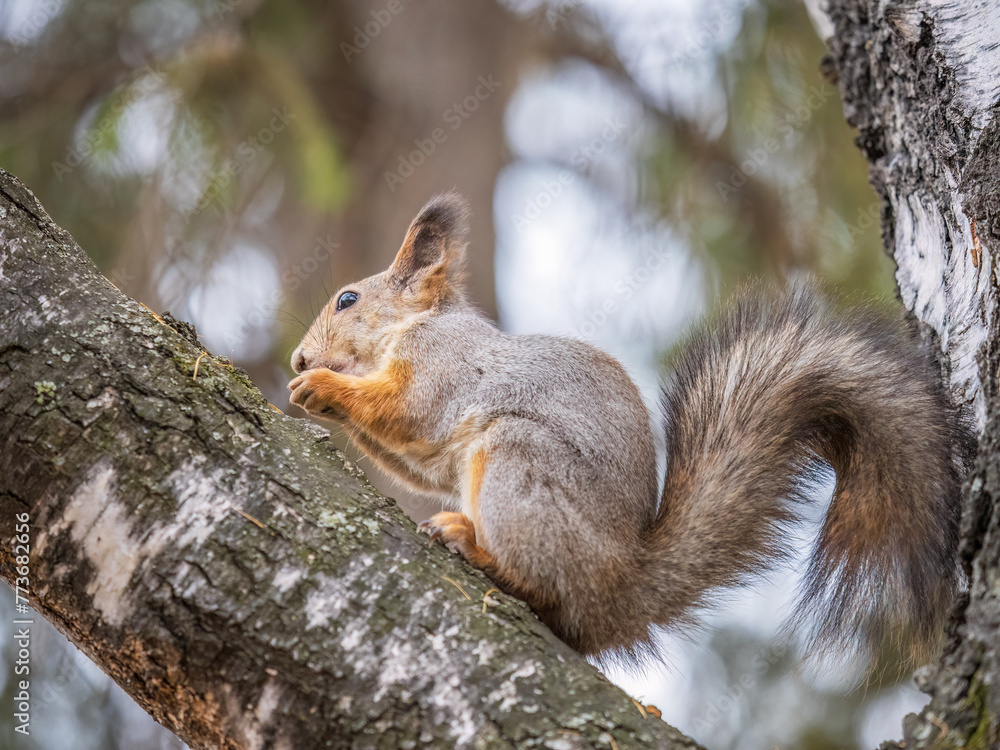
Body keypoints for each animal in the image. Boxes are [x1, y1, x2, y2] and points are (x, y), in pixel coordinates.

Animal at [288, 192, 969, 666]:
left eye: (347, 300)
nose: (296, 359)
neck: (415, 327)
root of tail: (619, 587)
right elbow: (410, 460)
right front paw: (309, 396)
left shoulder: (444, 368)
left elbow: (408, 409)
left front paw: (322, 388)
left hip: (519, 467)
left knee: (546, 588)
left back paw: (474, 545)